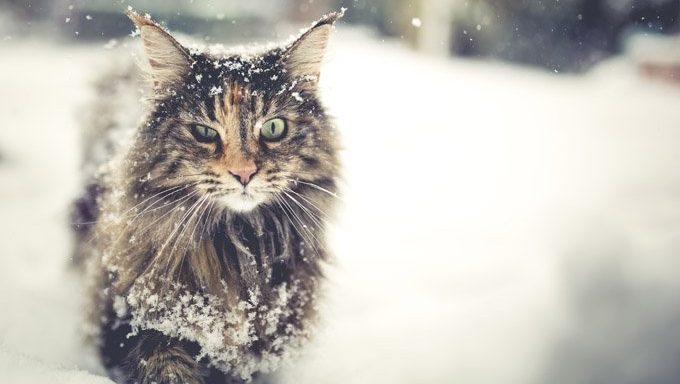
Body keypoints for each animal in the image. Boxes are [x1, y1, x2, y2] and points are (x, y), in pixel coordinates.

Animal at [72, 9, 342, 384]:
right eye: (204, 132)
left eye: (274, 128)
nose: (243, 173)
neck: (238, 247)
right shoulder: (121, 319)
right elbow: (164, 362)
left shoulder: (269, 344)